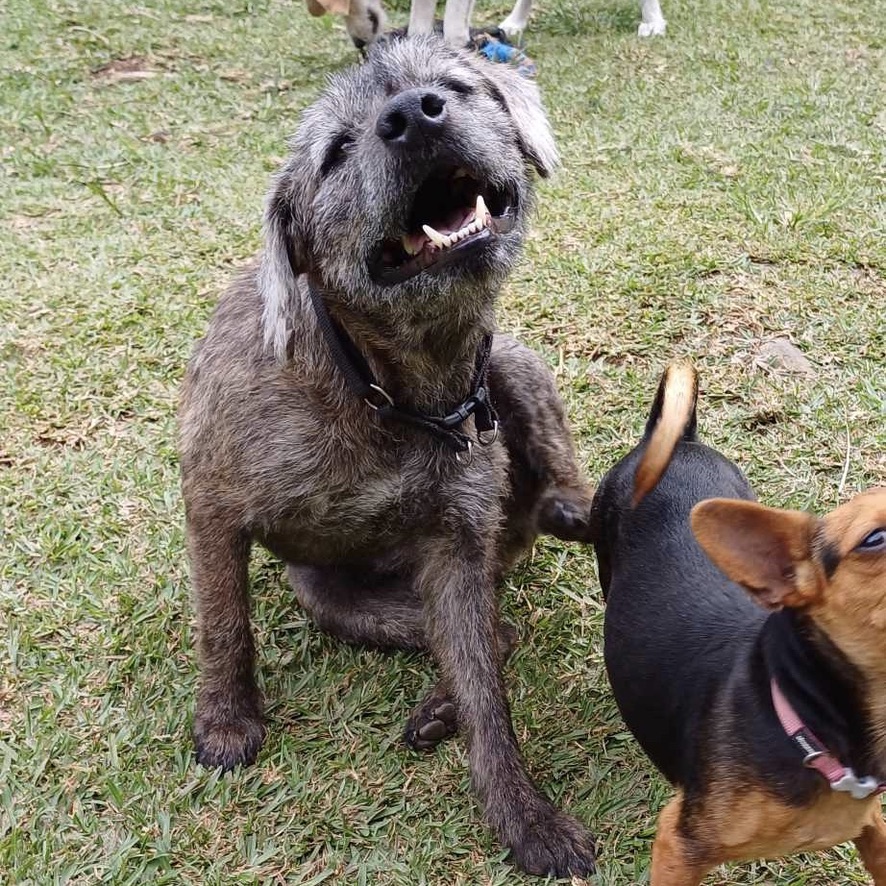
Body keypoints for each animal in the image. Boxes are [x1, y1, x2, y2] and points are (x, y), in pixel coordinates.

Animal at [179, 36, 596, 880]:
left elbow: (488, 697)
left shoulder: (457, 551)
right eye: (336, 152)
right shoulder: (211, 497)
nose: (413, 116)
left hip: (515, 369)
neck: (383, 386)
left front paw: (522, 815)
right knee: (495, 633)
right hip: (327, 595)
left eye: (456, 87)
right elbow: (224, 622)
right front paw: (227, 720)